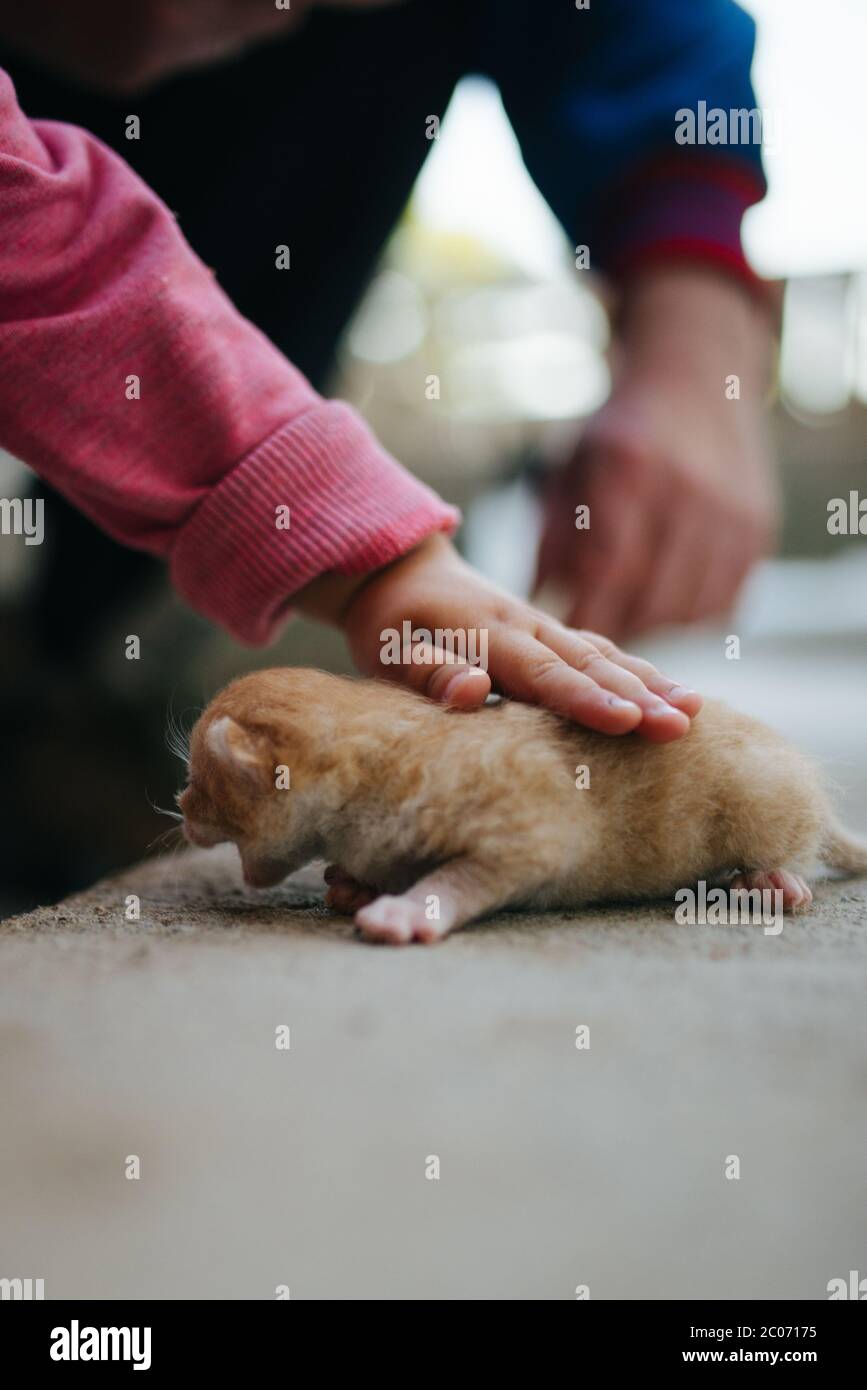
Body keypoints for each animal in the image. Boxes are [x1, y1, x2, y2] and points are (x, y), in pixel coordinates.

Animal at [177, 664, 867, 945]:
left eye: (199, 780)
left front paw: (407, 909)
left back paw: (773, 880)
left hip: (763, 795)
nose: (180, 804)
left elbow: (464, 875)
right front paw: (354, 884)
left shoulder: (531, 826)